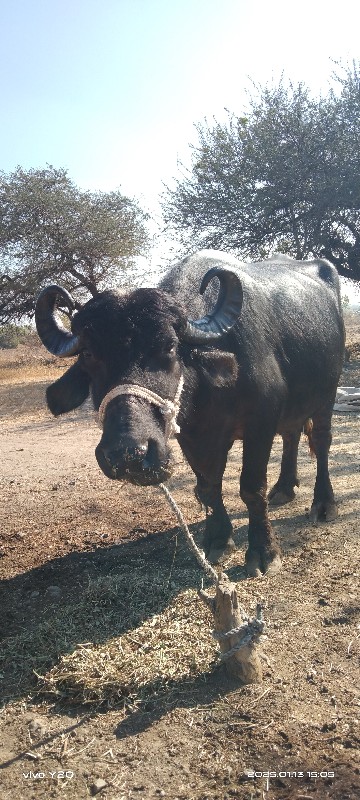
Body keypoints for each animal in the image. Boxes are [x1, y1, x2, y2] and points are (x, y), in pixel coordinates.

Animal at [35, 250, 344, 576]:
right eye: (90, 354)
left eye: (170, 347)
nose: (128, 455)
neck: (210, 391)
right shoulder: (191, 435)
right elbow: (208, 485)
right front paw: (218, 540)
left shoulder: (260, 421)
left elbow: (251, 487)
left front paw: (263, 551)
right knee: (291, 434)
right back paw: (284, 488)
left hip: (327, 394)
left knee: (321, 441)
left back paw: (324, 504)